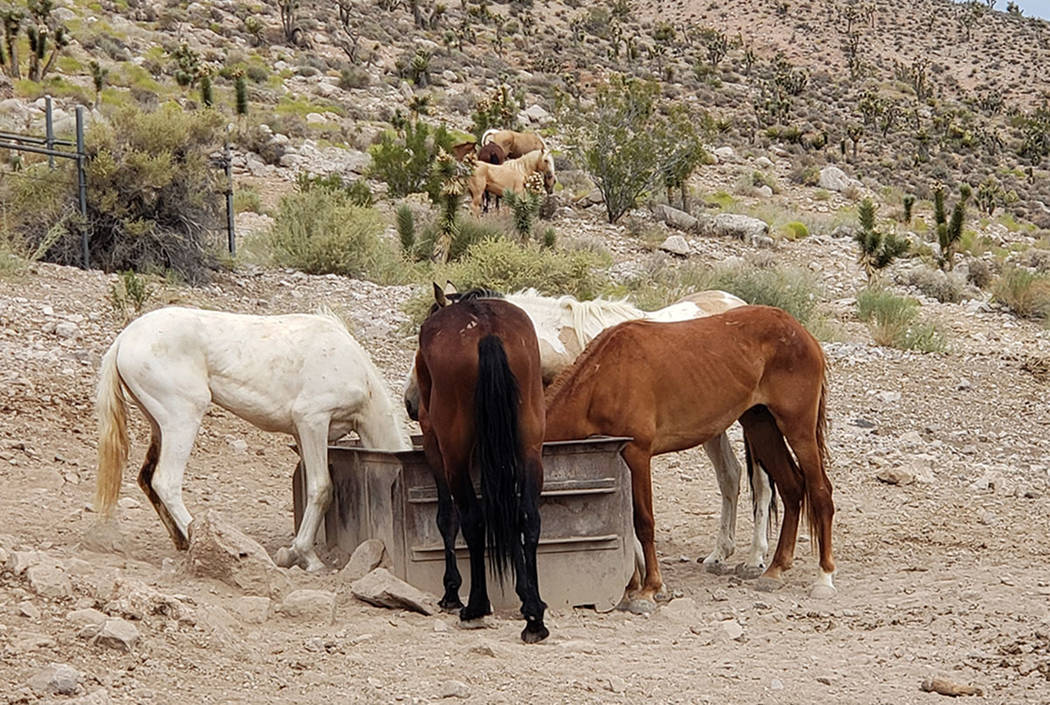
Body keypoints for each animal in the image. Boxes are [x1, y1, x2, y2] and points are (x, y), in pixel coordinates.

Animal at [95, 306, 409, 571]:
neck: (353, 369)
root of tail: (123, 340)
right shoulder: (313, 420)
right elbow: (321, 488)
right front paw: (308, 557)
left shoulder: (301, 432)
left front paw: (293, 553)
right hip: (182, 418)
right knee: (166, 482)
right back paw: (199, 540)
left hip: (159, 423)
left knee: (147, 478)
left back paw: (182, 542)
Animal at [401, 285, 772, 579]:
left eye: (427, 341)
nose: (410, 402)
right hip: (712, 426)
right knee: (730, 476)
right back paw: (719, 554)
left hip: (753, 420)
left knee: (761, 481)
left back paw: (755, 558)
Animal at [415, 283, 554, 643]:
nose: (409, 403)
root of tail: (486, 330)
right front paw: (527, 597)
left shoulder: (433, 444)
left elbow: (447, 517)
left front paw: (452, 591)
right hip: (530, 445)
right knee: (527, 516)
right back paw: (534, 618)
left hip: (454, 452)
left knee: (473, 519)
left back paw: (475, 605)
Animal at [546, 306, 831, 613]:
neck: (603, 378)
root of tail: (800, 331)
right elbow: (627, 525)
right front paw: (632, 586)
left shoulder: (637, 454)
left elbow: (643, 522)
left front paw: (649, 590)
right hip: (760, 424)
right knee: (792, 488)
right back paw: (775, 570)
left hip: (798, 429)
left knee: (820, 491)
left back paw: (824, 578)